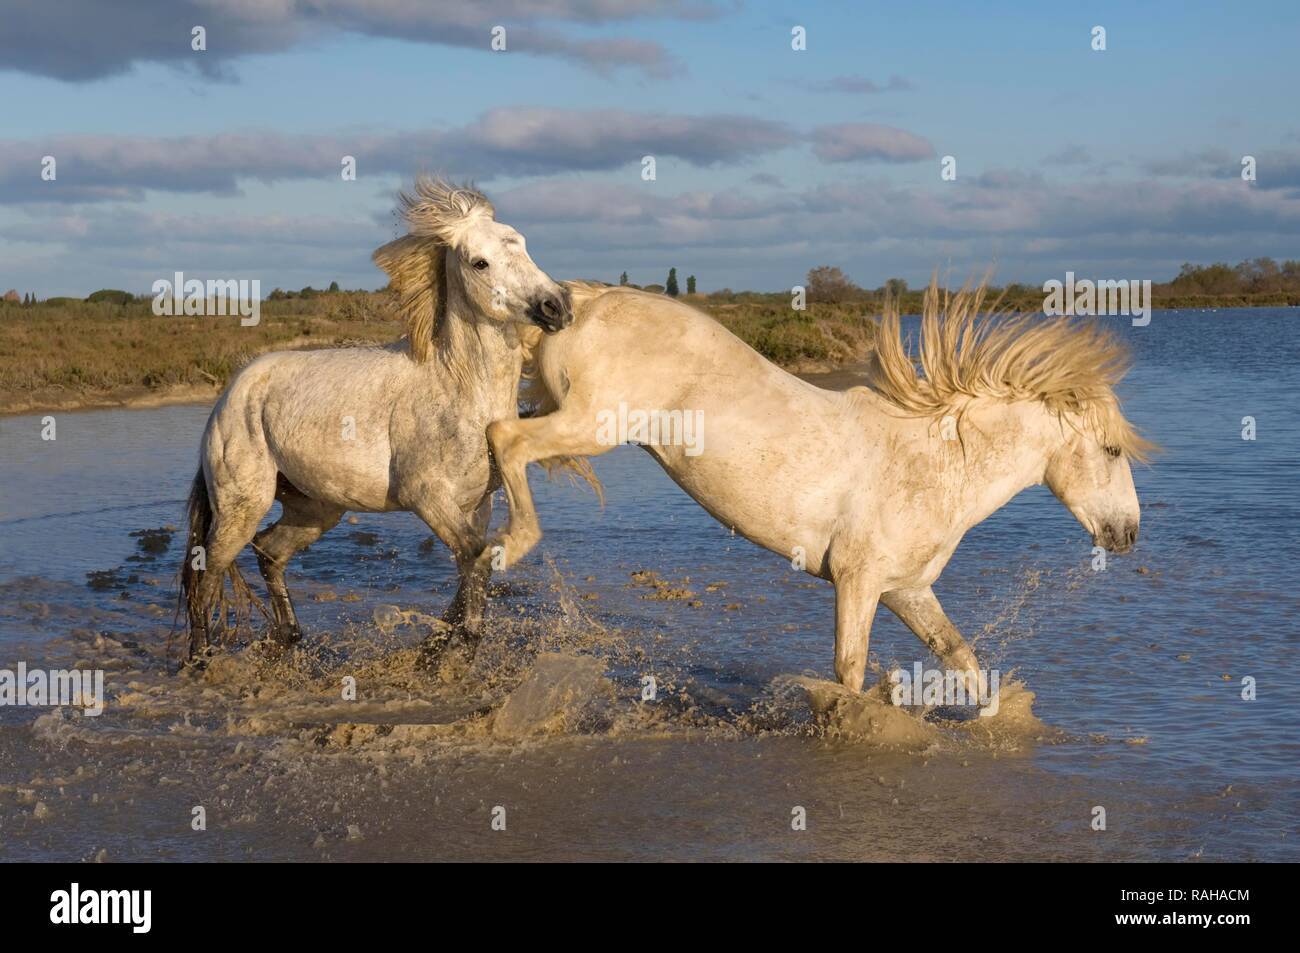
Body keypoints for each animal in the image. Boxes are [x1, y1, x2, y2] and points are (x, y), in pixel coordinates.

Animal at [178, 176, 574, 660]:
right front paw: (460, 643)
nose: (556, 306)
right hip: (242, 504)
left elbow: (474, 564)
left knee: (270, 551)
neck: (460, 388)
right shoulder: (428, 497)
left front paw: (441, 641)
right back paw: (201, 657)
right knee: (207, 572)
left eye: (523, 244)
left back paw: (290, 636)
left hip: (316, 506)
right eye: (480, 262)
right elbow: (476, 558)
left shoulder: (477, 504)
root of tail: (230, 394)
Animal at [473, 280, 1154, 691]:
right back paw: (505, 549)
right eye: (1113, 450)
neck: (937, 464)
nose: (1127, 534)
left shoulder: (906, 590)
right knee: (504, 436)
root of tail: (581, 301)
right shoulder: (858, 580)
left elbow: (964, 663)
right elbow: (849, 674)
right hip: (592, 425)